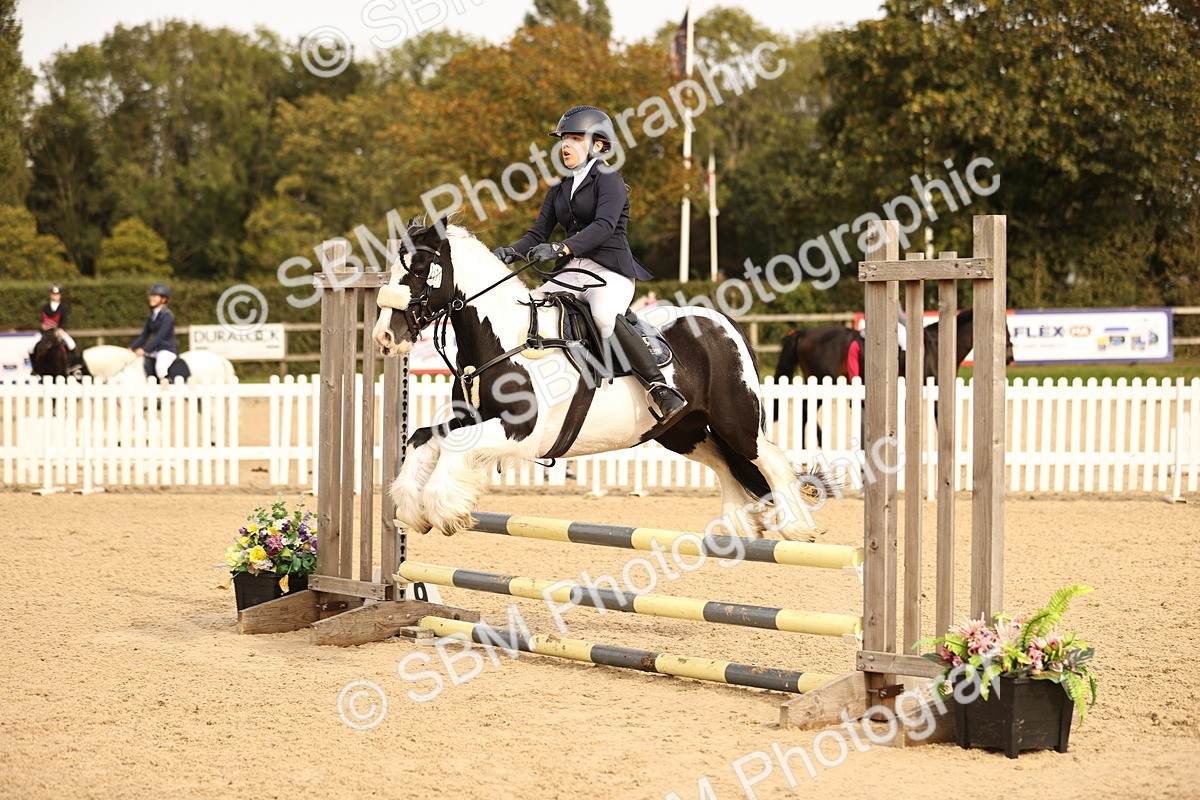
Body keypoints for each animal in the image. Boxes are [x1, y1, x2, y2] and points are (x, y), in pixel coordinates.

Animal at [372, 219, 830, 542]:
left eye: (420, 268)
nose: (384, 337)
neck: (506, 338)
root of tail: (723, 322)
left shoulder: (519, 431)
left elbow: (452, 445)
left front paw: (443, 510)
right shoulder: (476, 419)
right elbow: (423, 438)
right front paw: (413, 510)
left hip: (734, 419)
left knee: (767, 459)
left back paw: (795, 526)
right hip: (683, 431)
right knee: (724, 464)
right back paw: (738, 527)